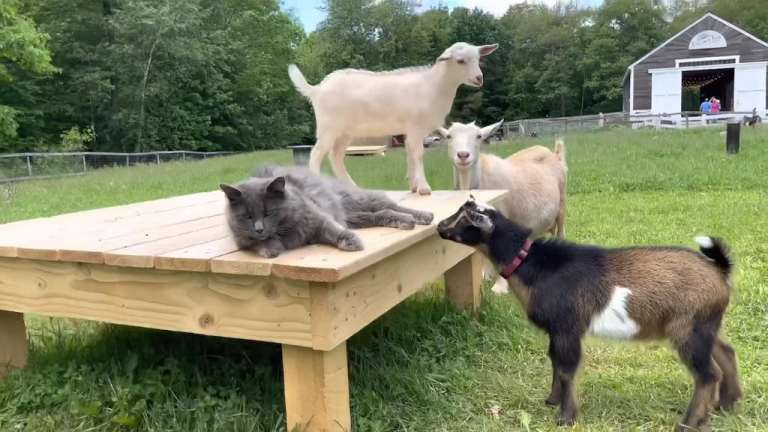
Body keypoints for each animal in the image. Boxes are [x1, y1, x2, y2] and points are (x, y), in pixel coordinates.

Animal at [219, 165, 436, 256]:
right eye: (247, 216)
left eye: (268, 213)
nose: (259, 229)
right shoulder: (242, 239)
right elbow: (257, 244)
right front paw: (270, 248)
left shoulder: (318, 220)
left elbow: (335, 231)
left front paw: (352, 242)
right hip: (355, 217)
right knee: (381, 214)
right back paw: (406, 221)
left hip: (358, 201)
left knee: (390, 205)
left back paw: (423, 216)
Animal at [286, 41, 498, 194]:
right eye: (460, 60)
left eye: (478, 58)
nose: (479, 79)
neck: (433, 86)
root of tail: (316, 89)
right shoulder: (414, 127)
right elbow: (418, 154)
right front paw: (424, 188)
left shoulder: (410, 130)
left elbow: (410, 155)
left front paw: (414, 187)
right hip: (328, 127)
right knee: (316, 154)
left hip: (345, 131)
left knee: (336, 156)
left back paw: (353, 187)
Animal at [436, 200, 740, 432]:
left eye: (464, 218)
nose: (439, 226)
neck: (531, 264)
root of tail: (719, 271)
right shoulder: (557, 332)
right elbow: (555, 362)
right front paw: (552, 400)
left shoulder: (567, 327)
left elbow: (567, 369)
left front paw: (565, 417)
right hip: (707, 325)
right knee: (726, 352)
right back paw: (727, 404)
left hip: (688, 330)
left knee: (708, 374)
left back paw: (688, 424)